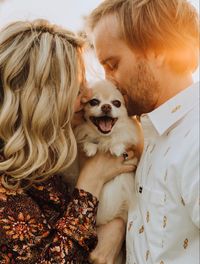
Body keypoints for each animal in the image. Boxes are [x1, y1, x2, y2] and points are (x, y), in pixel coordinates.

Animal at [74, 80, 142, 264]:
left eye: (116, 103)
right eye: (94, 102)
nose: (105, 106)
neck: (104, 138)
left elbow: (121, 140)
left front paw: (117, 147)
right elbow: (89, 140)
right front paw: (90, 147)